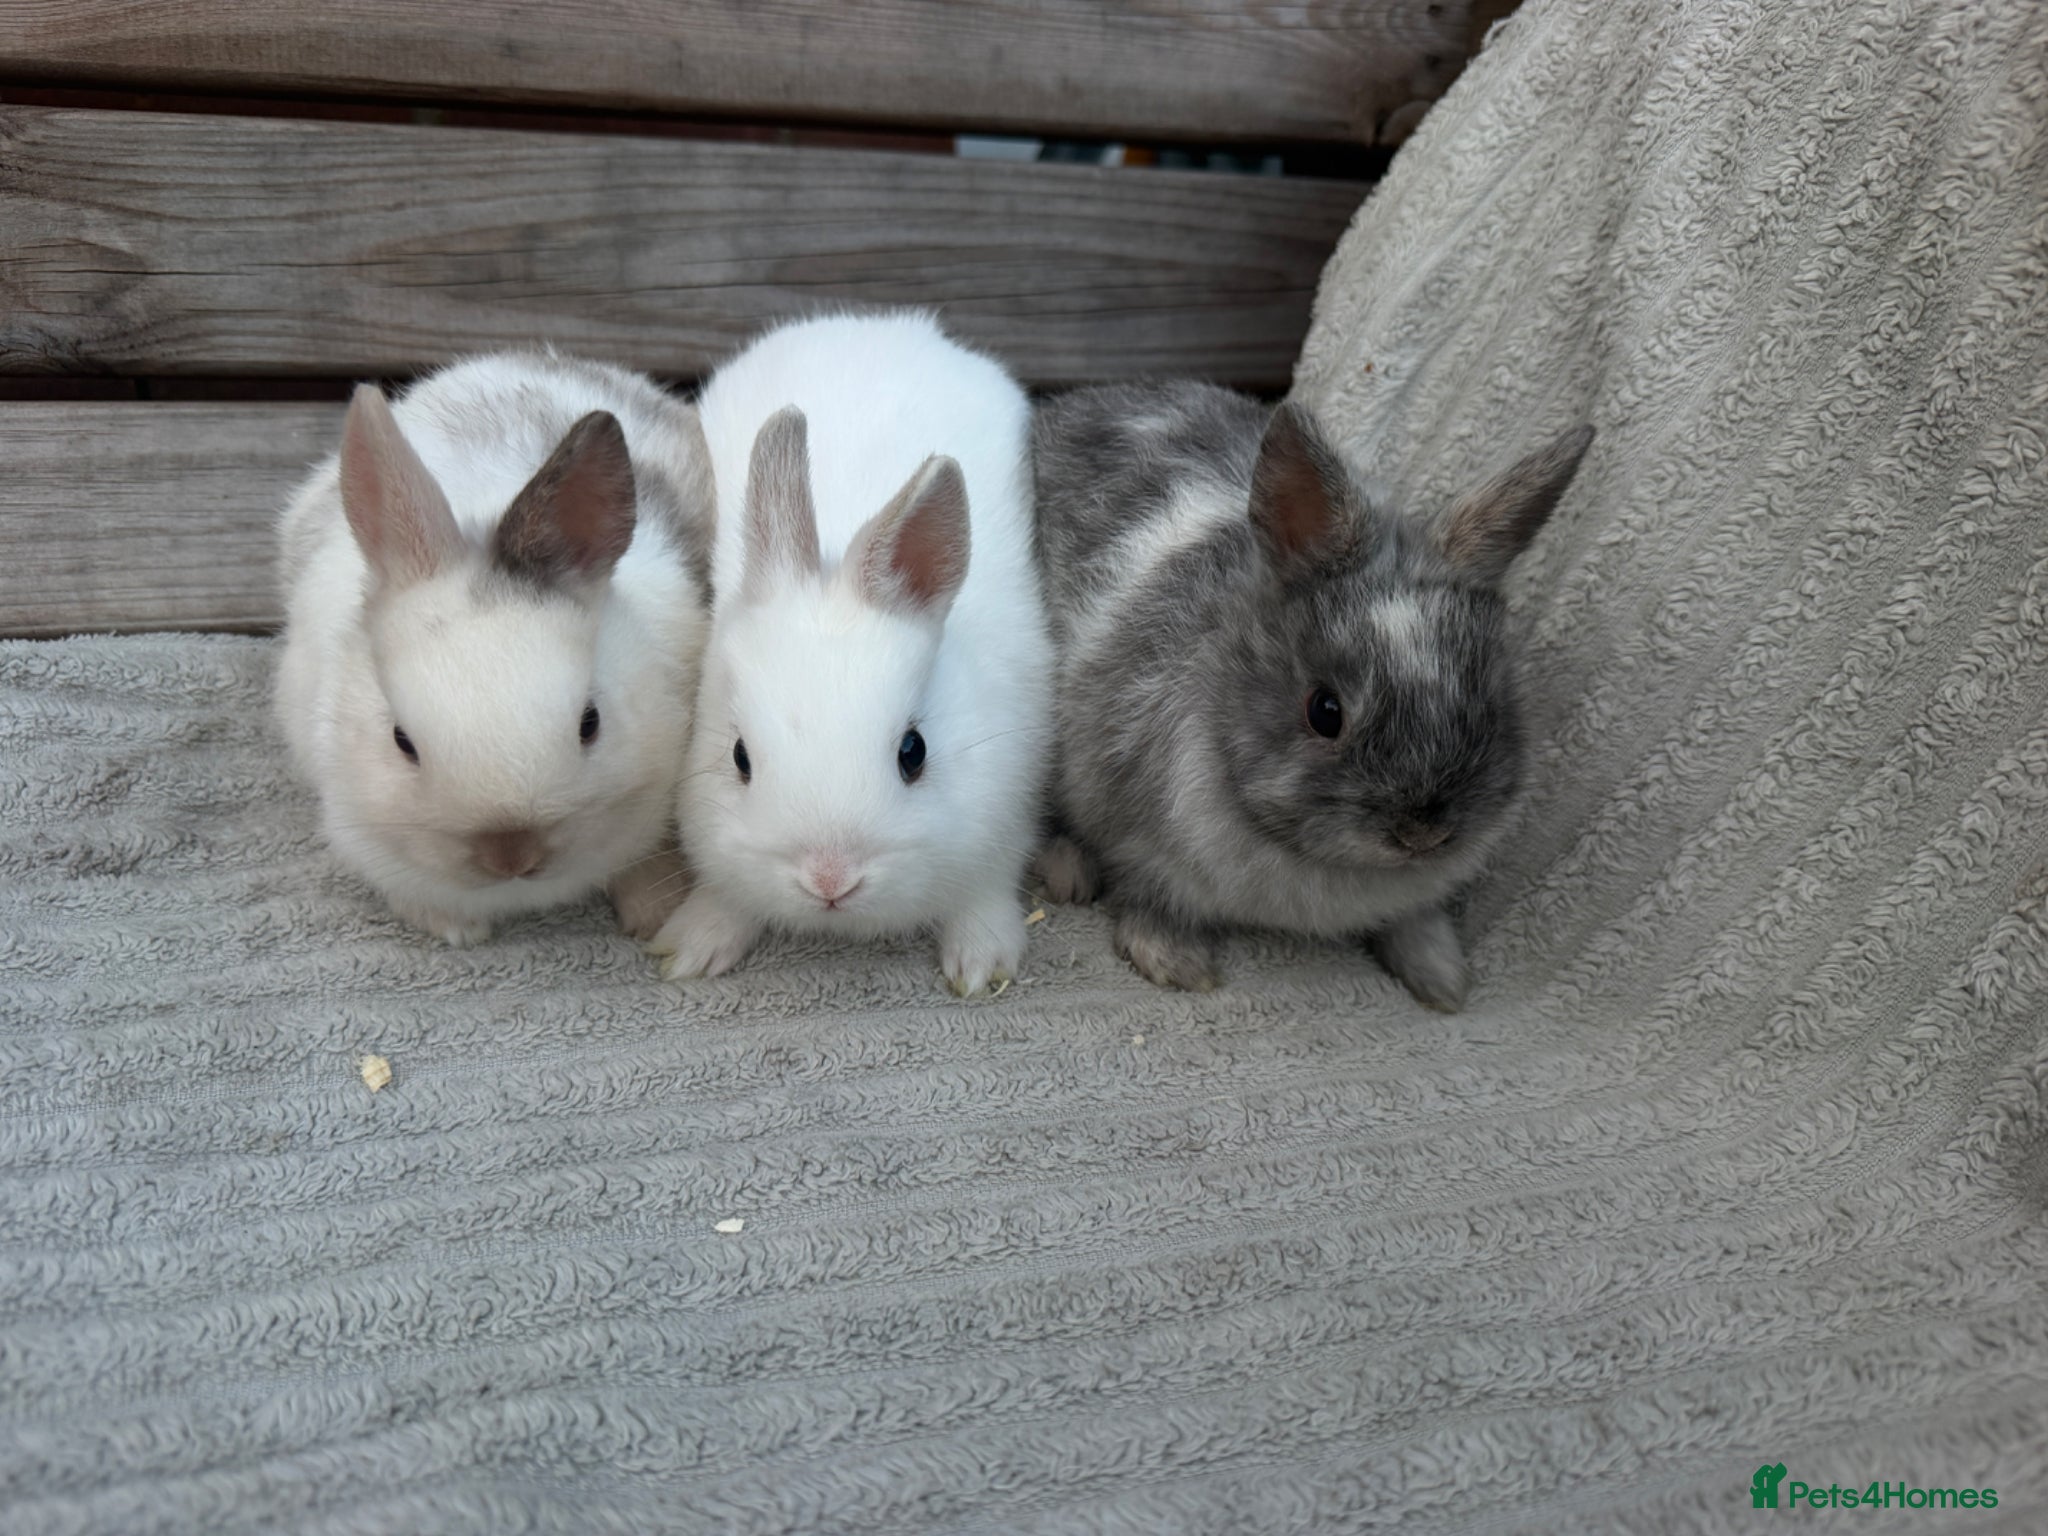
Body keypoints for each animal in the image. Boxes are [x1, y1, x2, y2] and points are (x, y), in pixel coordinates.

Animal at [649, 311, 1052, 995]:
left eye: (914, 752)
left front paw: (980, 966)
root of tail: (879, 322)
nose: (830, 879)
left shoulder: (1006, 813)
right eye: (738, 758)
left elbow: (986, 891)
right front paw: (694, 946)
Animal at [1031, 381, 1592, 1010]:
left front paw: (1443, 981)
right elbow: (1150, 894)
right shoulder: (1133, 828)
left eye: (1490, 704)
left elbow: (1414, 920)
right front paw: (1176, 963)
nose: (1422, 833)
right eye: (1325, 712)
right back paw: (1068, 874)